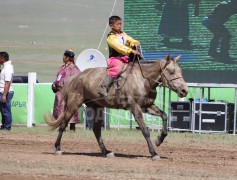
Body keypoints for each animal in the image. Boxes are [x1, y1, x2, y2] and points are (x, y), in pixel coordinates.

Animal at [44, 54, 189, 160]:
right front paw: (154, 152)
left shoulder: (147, 106)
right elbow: (145, 130)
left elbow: (164, 115)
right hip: (73, 105)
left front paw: (159, 139)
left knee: (96, 130)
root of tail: (76, 77)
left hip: (97, 107)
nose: (185, 90)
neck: (143, 80)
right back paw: (58, 148)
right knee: (63, 124)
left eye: (180, 71)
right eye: (171, 71)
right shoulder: (135, 108)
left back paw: (105, 151)